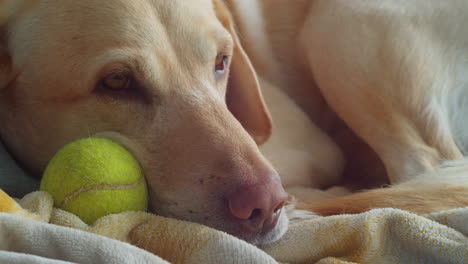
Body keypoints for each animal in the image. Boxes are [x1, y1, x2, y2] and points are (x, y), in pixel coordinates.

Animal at [2, 0, 468, 245]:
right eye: (116, 82)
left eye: (221, 62)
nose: (267, 207)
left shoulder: (308, 145)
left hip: (339, 23)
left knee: (424, 168)